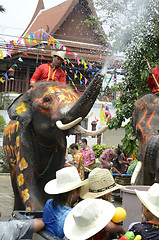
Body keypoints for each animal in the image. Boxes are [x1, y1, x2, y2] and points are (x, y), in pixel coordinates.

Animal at [3, 73, 107, 210]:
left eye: (75, 98)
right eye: (47, 99)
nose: (100, 74)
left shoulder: (61, 150)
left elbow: (52, 179)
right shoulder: (23, 141)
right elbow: (25, 181)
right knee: (15, 181)